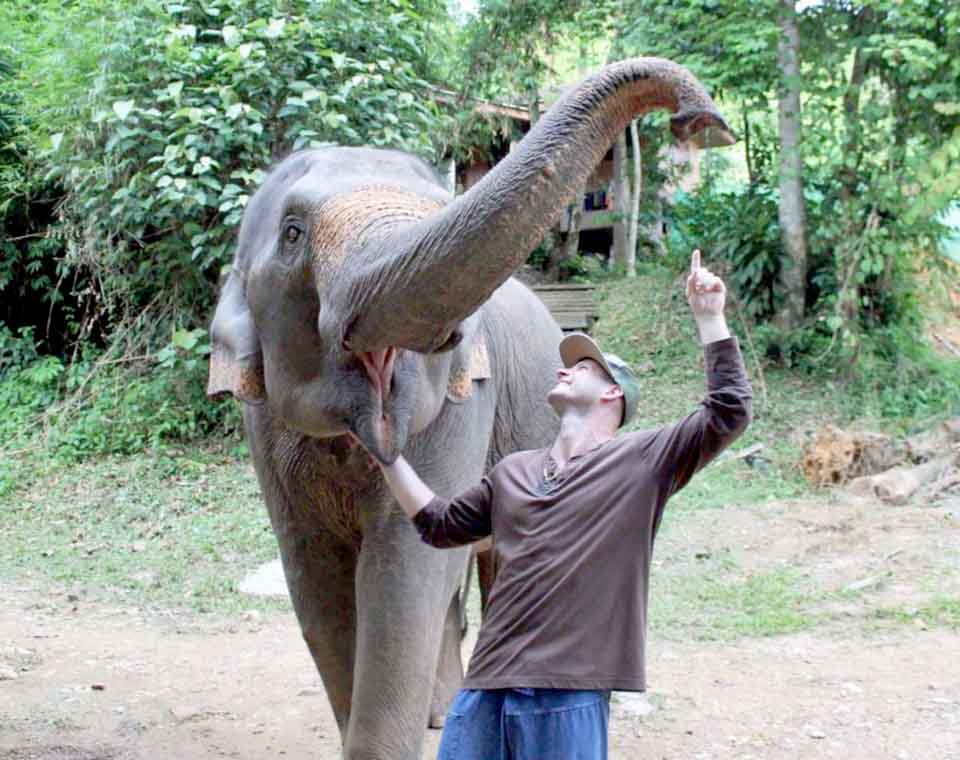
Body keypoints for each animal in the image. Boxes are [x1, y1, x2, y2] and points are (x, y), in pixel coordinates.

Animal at [207, 57, 732, 759]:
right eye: (292, 234)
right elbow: (314, 578)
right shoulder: (263, 427)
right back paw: (440, 712)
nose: (701, 120)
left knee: (481, 569)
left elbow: (405, 564)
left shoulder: (466, 407)